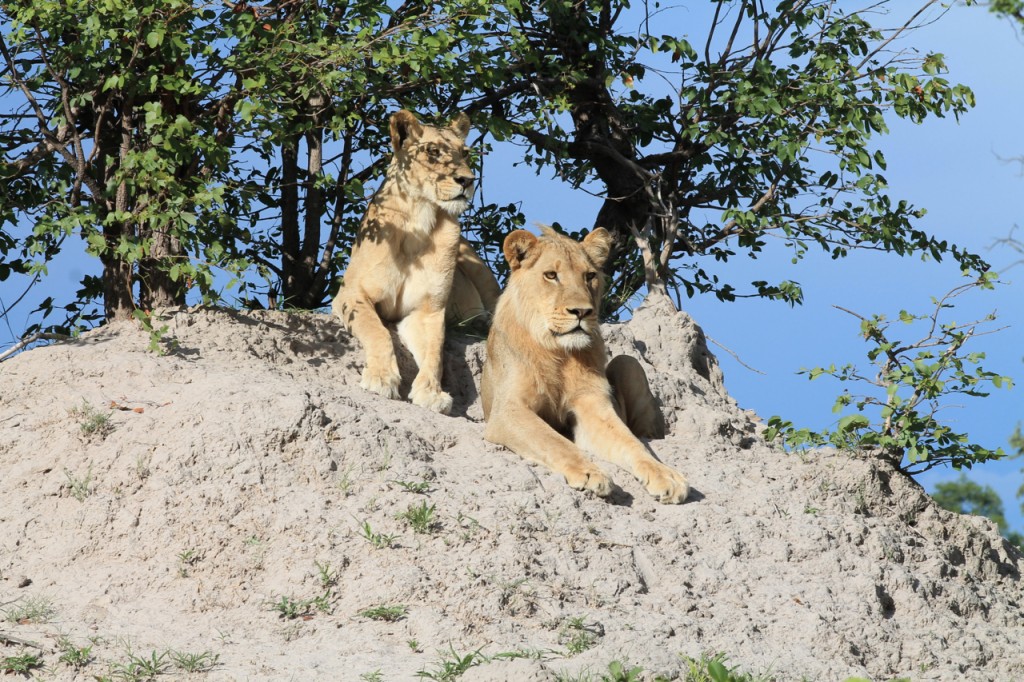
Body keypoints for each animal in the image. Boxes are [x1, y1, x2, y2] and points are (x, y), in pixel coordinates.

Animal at [333, 109, 497, 411]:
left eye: (465, 153)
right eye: (433, 151)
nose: (468, 181)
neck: (420, 217)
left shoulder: (427, 310)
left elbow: (435, 352)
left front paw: (431, 392)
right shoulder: (351, 294)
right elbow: (377, 330)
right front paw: (381, 378)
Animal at [479, 225, 688, 501]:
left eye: (589, 276)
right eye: (551, 275)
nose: (581, 312)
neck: (559, 352)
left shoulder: (593, 404)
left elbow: (632, 443)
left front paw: (666, 475)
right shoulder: (507, 410)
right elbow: (553, 441)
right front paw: (591, 474)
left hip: (628, 362)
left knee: (644, 431)